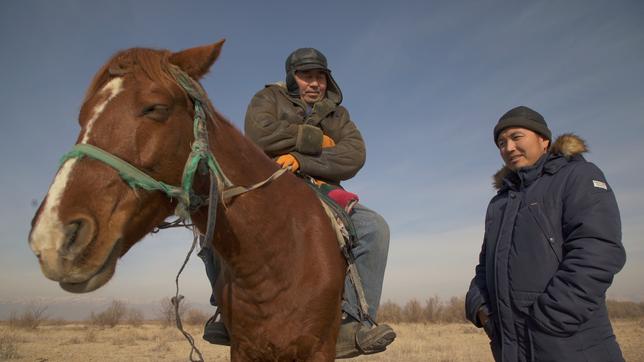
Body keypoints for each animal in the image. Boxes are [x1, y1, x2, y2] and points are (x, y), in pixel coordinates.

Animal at [27, 40, 348, 362]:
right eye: (82, 116)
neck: (276, 262)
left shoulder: (319, 348)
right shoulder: (244, 349)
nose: (53, 236)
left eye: (156, 108)